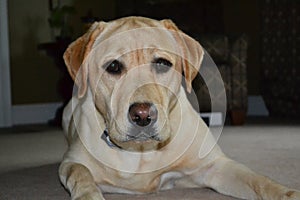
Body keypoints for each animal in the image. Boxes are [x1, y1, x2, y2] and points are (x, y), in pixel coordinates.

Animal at [59, 16, 300, 199]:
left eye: (162, 63)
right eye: (113, 66)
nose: (143, 115)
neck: (141, 152)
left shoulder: (215, 166)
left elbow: (258, 180)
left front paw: (287, 193)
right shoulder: (71, 162)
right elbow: (81, 174)